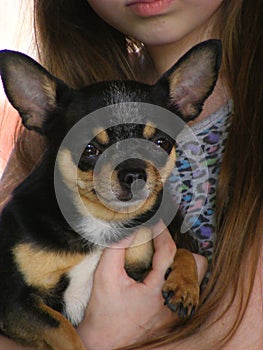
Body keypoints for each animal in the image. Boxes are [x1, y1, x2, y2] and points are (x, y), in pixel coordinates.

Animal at [0, 39, 223, 348]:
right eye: (89, 150)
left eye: (160, 143)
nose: (134, 173)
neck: (101, 221)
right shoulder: (13, 301)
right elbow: (64, 330)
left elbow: (184, 250)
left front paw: (184, 285)